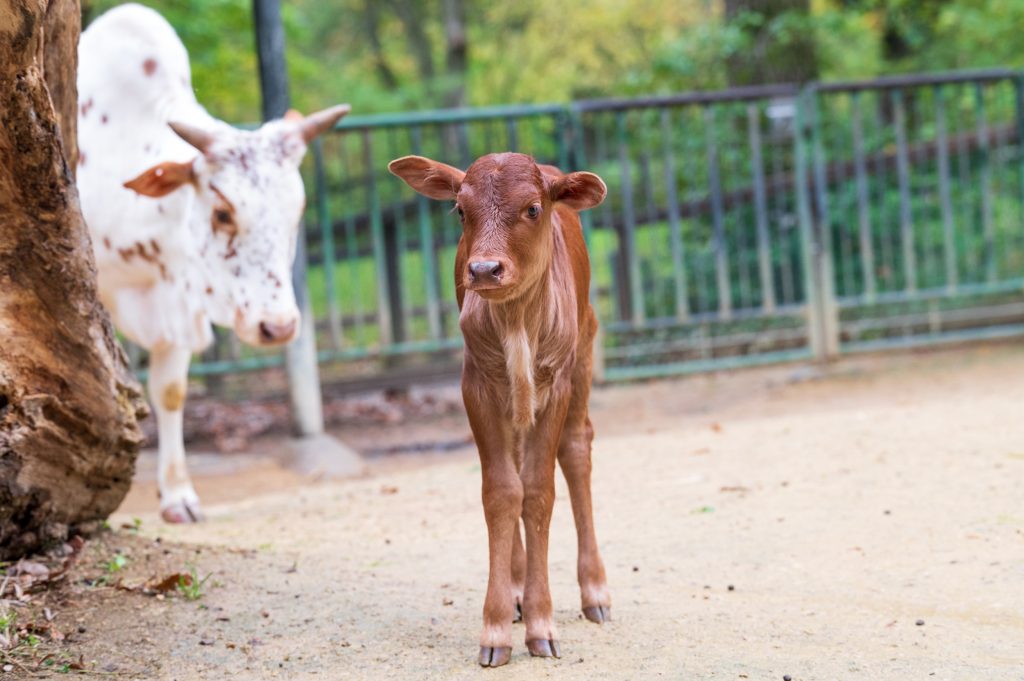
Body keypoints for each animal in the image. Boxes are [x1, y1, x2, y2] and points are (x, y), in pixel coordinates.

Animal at [74, 3, 348, 520]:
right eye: (223, 212)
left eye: (297, 210)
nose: (278, 327)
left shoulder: (179, 299)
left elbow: (170, 391)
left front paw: (178, 493)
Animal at [387, 152, 610, 663]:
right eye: (459, 210)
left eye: (533, 208)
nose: (485, 269)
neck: (516, 324)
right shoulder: (476, 384)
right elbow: (503, 491)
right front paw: (496, 628)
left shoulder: (557, 381)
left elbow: (541, 491)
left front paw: (544, 624)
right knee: (515, 468)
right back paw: (517, 592)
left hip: (585, 347)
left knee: (577, 448)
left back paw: (595, 592)